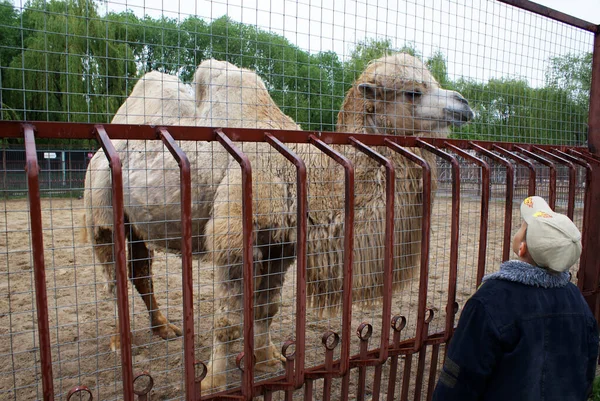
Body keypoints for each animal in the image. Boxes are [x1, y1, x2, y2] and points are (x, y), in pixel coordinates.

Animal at [81, 54, 474, 390]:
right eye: (413, 92)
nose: (464, 105)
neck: (303, 172)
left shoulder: (280, 245)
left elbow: (266, 308)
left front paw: (268, 358)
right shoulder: (233, 239)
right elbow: (228, 321)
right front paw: (212, 381)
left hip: (134, 223)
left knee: (141, 271)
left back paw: (164, 328)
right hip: (101, 208)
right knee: (114, 275)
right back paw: (120, 341)